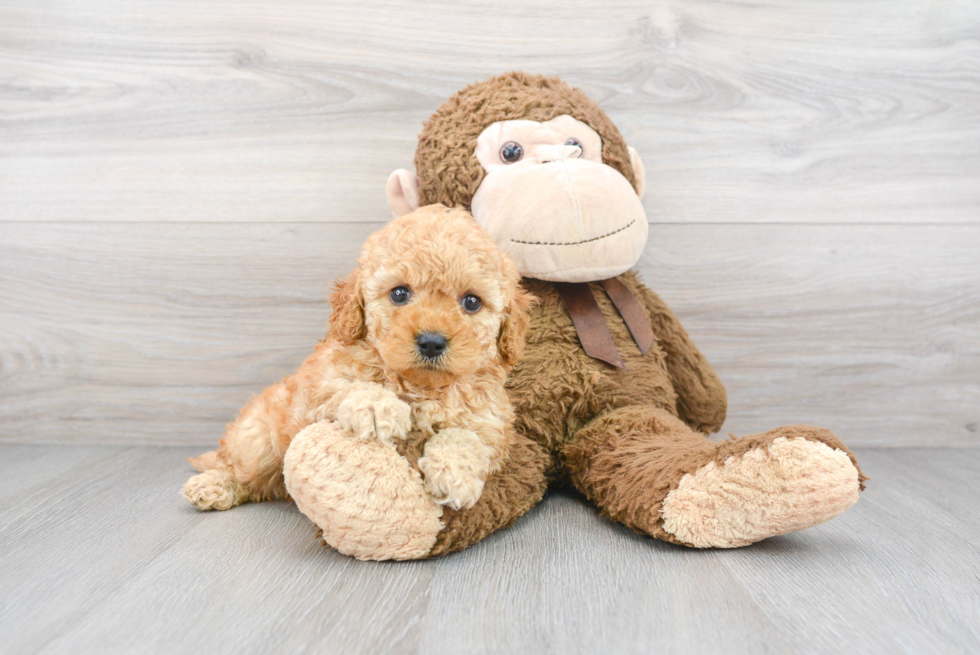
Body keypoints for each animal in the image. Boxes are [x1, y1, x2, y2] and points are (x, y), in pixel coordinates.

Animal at [184, 205, 536, 512]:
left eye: (472, 302)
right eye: (399, 293)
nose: (432, 342)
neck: (421, 388)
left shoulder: (491, 423)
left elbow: (468, 438)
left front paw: (455, 475)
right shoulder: (315, 390)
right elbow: (349, 386)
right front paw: (378, 407)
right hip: (256, 440)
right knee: (241, 470)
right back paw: (212, 486)